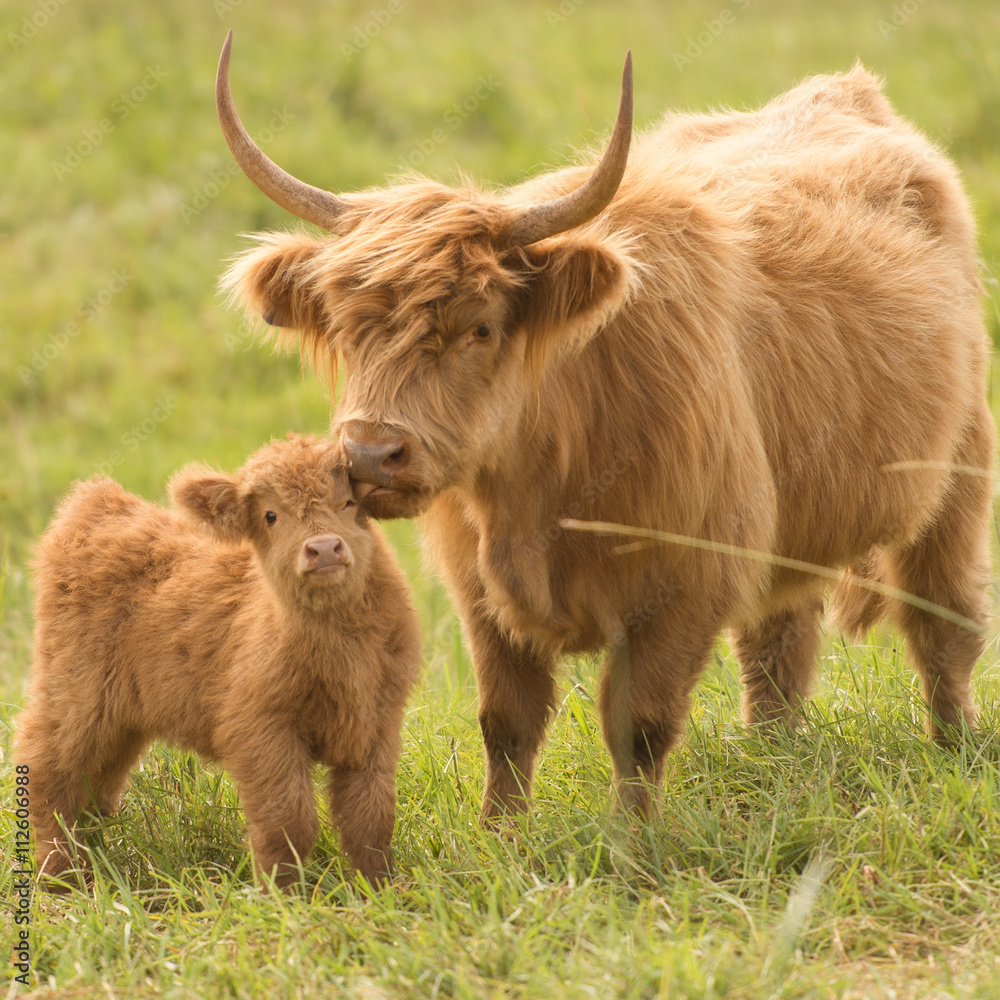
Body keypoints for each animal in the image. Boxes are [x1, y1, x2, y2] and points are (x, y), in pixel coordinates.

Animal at [16, 434, 422, 888]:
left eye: (349, 502)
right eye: (270, 515)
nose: (323, 549)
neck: (340, 644)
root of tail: (100, 502)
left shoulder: (377, 724)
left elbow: (370, 818)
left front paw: (380, 889)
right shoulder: (261, 729)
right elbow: (288, 821)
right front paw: (283, 894)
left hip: (119, 720)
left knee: (96, 787)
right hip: (74, 696)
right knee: (47, 771)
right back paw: (61, 880)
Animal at [215, 37, 996, 820]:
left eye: (481, 327)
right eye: (347, 331)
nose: (373, 455)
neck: (540, 479)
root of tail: (843, 89)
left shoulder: (684, 580)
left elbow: (638, 724)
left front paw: (634, 838)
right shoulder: (479, 592)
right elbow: (506, 720)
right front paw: (501, 832)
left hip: (959, 472)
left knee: (942, 622)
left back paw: (953, 749)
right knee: (780, 645)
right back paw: (770, 763)